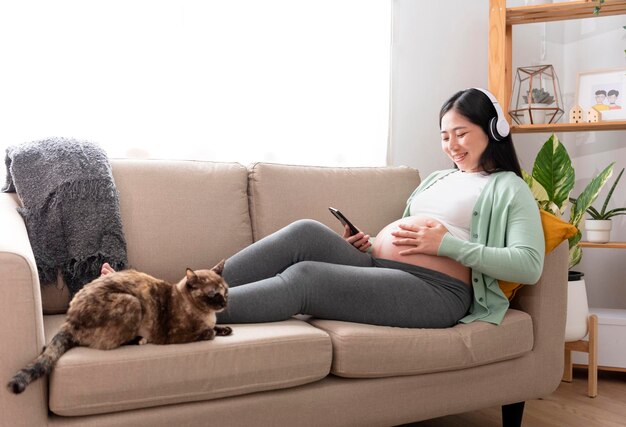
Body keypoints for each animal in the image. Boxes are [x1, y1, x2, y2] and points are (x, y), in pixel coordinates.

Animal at [6, 260, 232, 396]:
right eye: (213, 294)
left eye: (226, 291)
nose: (225, 303)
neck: (205, 314)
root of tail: (69, 318)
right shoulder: (176, 335)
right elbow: (206, 333)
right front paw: (212, 331)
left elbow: (218, 328)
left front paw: (226, 329)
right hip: (132, 303)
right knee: (111, 343)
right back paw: (139, 340)